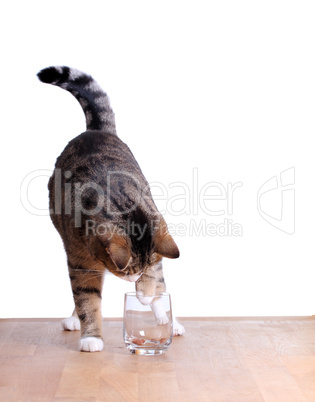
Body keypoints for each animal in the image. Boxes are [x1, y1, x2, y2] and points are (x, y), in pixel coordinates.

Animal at [37, 66, 185, 352]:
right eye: (125, 271)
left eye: (139, 269)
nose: (134, 279)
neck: (121, 202)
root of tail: (96, 131)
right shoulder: (80, 260)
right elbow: (87, 299)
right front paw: (91, 336)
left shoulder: (155, 226)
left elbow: (155, 274)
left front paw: (146, 295)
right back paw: (75, 319)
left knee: (162, 282)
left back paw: (168, 318)